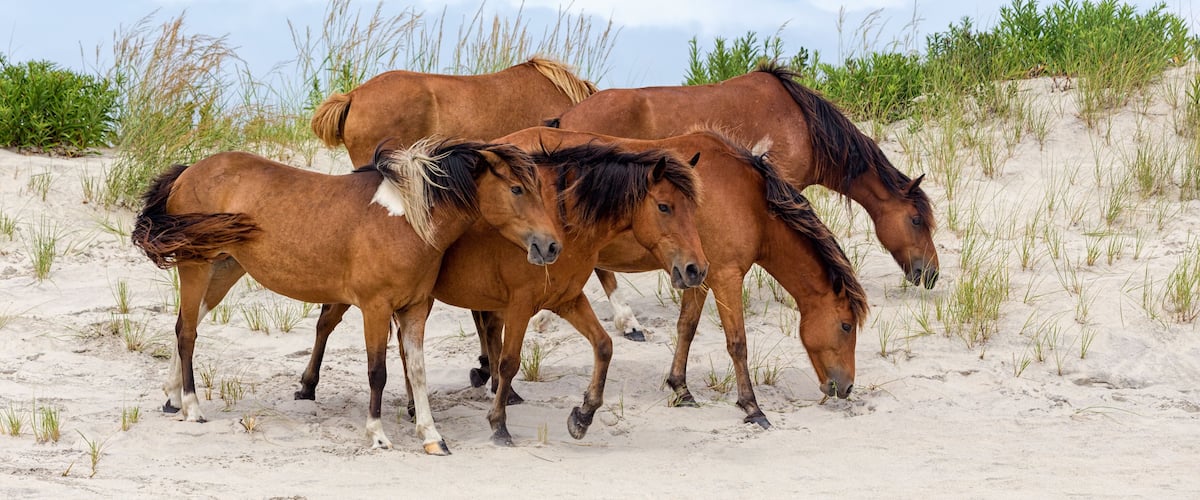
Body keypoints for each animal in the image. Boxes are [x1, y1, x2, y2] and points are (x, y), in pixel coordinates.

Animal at [130, 140, 560, 455]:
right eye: (516, 189)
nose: (550, 246)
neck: (406, 220)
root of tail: (189, 171)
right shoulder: (375, 308)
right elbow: (378, 372)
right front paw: (378, 434)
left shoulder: (415, 309)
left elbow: (417, 372)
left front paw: (432, 437)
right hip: (196, 266)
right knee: (187, 333)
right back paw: (192, 407)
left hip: (224, 268)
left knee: (185, 325)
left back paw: (172, 397)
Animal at [299, 128, 709, 446]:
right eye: (664, 207)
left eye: (694, 209)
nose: (695, 269)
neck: (563, 221)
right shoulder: (521, 305)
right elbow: (510, 361)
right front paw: (499, 424)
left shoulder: (567, 299)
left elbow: (604, 346)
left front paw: (583, 415)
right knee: (327, 322)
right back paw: (307, 385)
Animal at [468, 129, 869, 428]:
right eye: (846, 326)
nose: (846, 387)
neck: (748, 198)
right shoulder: (726, 276)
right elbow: (737, 343)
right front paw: (752, 407)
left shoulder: (699, 274)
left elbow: (686, 328)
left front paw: (681, 388)